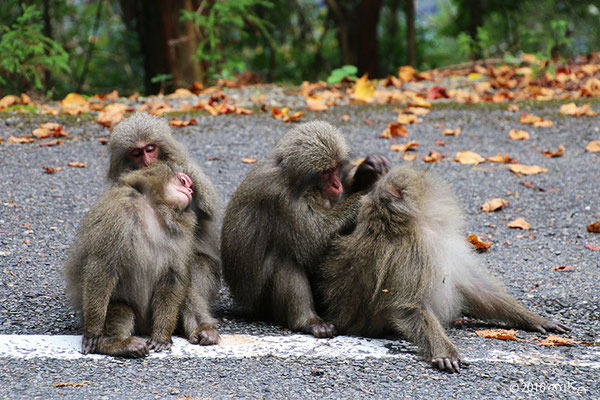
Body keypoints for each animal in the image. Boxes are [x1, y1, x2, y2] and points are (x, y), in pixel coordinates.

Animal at [65, 162, 197, 360]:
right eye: (183, 181)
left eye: (190, 186)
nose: (190, 190)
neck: (154, 209)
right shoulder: (119, 210)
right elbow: (103, 266)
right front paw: (93, 331)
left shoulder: (182, 234)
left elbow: (172, 279)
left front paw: (161, 335)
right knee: (121, 309)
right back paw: (112, 343)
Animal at [108, 112, 220, 344]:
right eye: (136, 153)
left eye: (150, 149)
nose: (147, 162)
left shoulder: (181, 165)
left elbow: (209, 207)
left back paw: (202, 328)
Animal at [220, 121, 390, 338]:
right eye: (325, 172)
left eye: (335, 168)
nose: (336, 184)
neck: (297, 182)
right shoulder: (280, 200)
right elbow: (314, 244)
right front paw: (364, 195)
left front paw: (367, 170)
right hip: (263, 304)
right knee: (286, 259)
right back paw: (307, 321)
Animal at [316, 165, 568, 372]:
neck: (401, 223)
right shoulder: (414, 252)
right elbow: (408, 307)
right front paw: (444, 350)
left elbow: (475, 290)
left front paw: (534, 319)